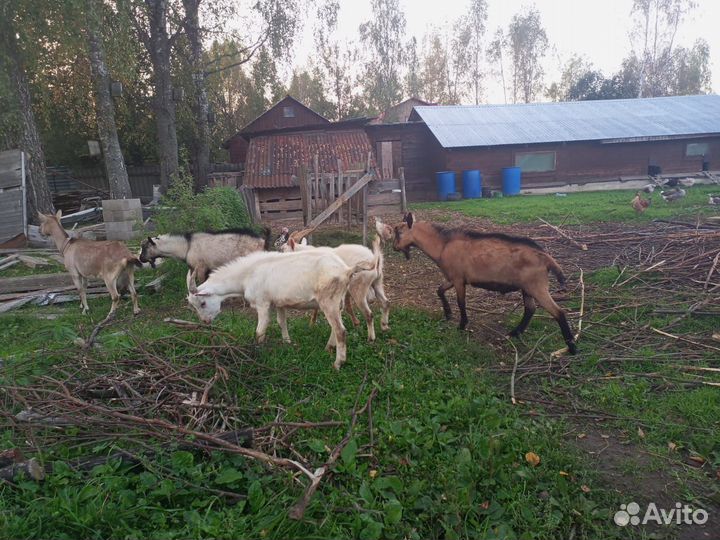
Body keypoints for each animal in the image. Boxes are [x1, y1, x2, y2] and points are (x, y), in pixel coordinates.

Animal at [186, 250, 379, 370]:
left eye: (202, 303)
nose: (205, 322)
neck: (247, 275)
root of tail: (346, 270)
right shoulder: (279, 303)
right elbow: (281, 322)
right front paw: (287, 343)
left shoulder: (262, 303)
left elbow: (260, 330)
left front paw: (257, 353)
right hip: (337, 301)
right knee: (336, 326)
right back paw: (328, 348)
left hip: (328, 300)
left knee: (340, 330)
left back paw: (338, 363)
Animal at [388, 213, 577, 354]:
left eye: (399, 232)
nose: (394, 247)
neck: (443, 246)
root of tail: (546, 257)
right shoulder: (453, 278)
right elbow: (439, 290)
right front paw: (448, 314)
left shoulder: (458, 279)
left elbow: (461, 302)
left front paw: (462, 325)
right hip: (527, 288)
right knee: (530, 309)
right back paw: (515, 333)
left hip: (537, 286)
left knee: (558, 312)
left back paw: (571, 347)